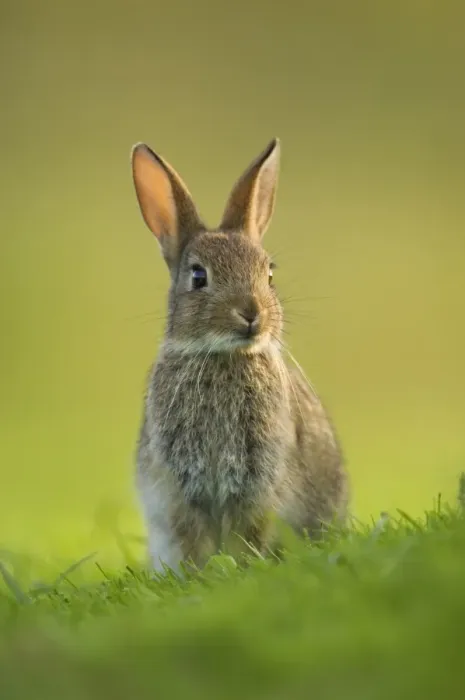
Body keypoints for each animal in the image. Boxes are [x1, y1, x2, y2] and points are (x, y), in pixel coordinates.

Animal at [131, 137, 349, 573]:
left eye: (269, 274)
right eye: (199, 277)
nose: (252, 313)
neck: (224, 355)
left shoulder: (259, 483)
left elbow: (248, 534)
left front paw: (243, 568)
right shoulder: (181, 489)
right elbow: (192, 538)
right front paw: (196, 575)